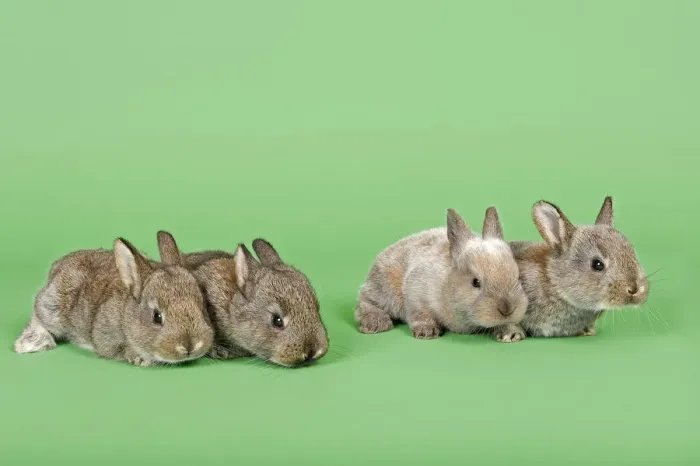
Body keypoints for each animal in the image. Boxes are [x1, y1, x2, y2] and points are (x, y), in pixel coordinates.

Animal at [14, 236, 214, 366]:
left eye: (203, 308)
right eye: (157, 317)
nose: (190, 347)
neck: (127, 315)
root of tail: (57, 265)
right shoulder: (107, 336)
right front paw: (140, 359)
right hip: (53, 307)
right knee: (38, 313)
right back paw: (32, 343)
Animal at [355, 207, 529, 342]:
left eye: (517, 277)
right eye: (475, 282)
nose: (507, 309)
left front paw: (511, 333)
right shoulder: (416, 294)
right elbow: (420, 313)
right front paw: (427, 331)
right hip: (384, 287)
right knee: (365, 303)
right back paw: (376, 323)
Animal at [508, 196, 650, 338]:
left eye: (632, 252)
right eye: (597, 264)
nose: (636, 289)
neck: (554, 282)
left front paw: (587, 331)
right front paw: (513, 335)